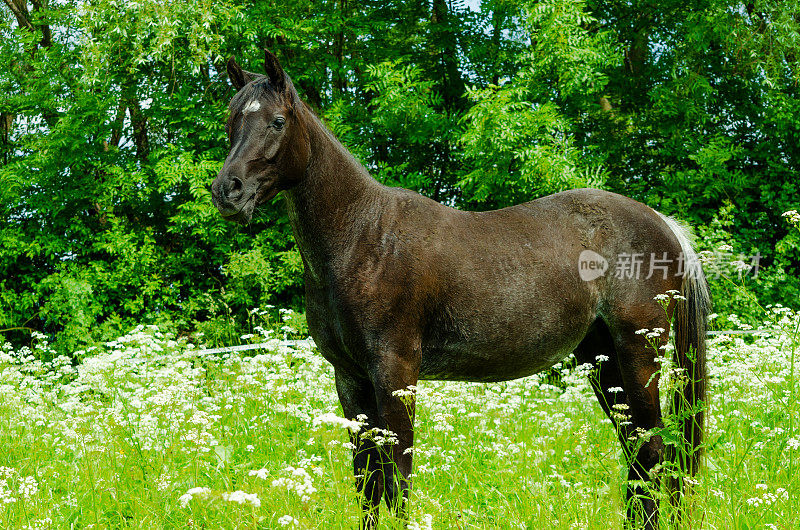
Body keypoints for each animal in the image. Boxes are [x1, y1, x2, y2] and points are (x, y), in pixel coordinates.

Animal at [209, 48, 708, 524]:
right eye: (231, 122)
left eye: (277, 121)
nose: (227, 191)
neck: (362, 237)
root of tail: (662, 224)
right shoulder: (349, 378)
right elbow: (367, 483)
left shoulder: (395, 373)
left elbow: (397, 478)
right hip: (602, 360)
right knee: (639, 451)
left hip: (638, 353)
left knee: (653, 449)